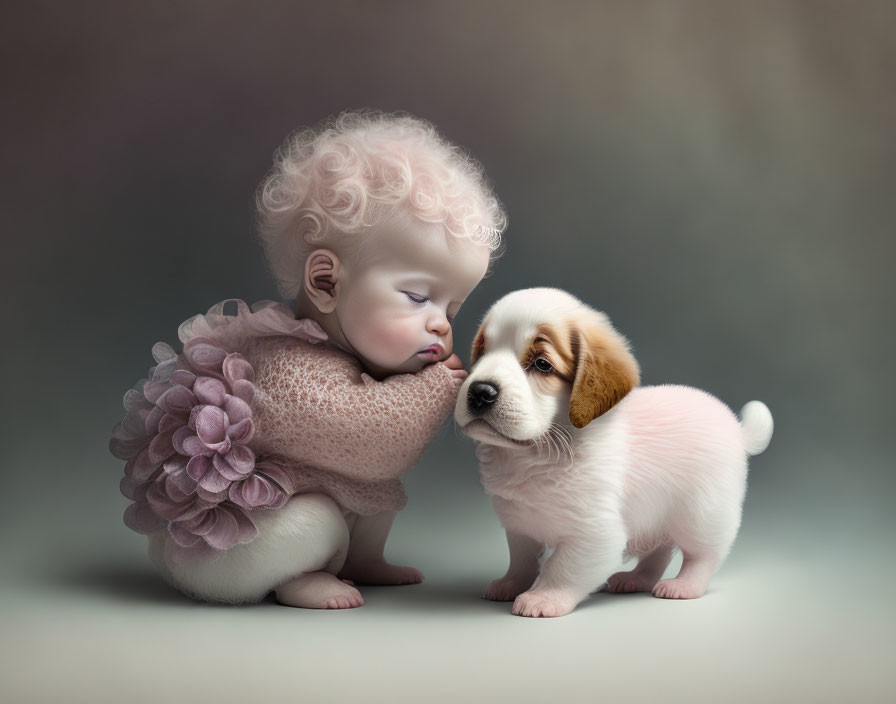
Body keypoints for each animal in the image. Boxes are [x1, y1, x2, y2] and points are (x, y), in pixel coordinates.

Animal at [458, 288, 772, 616]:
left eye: (542, 364)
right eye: (482, 353)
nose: (480, 391)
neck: (535, 453)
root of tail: (737, 428)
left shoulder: (595, 533)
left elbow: (562, 567)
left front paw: (543, 597)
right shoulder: (519, 525)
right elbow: (521, 560)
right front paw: (511, 583)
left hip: (702, 515)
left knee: (703, 556)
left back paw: (684, 585)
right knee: (658, 552)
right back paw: (635, 579)